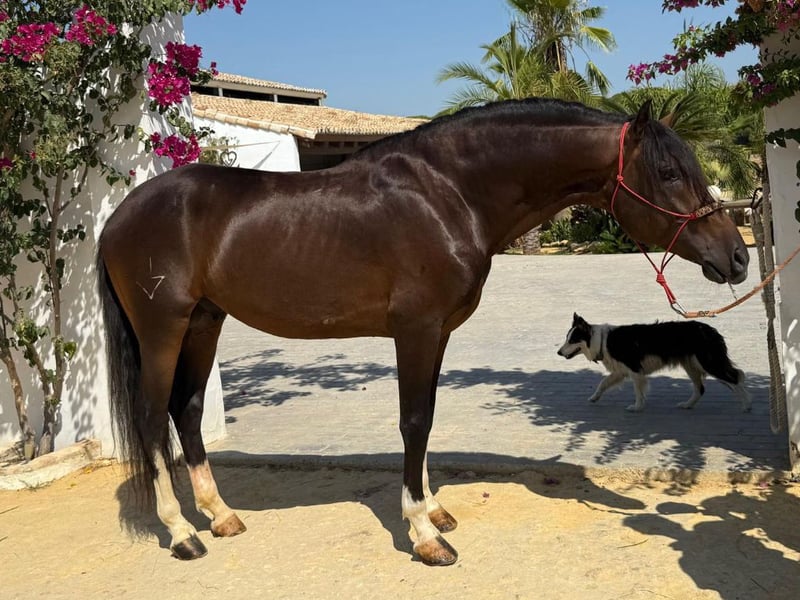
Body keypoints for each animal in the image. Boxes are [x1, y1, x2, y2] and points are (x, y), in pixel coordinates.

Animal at [557, 313, 751, 413]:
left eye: (572, 340)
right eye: (566, 338)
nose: (558, 352)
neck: (603, 341)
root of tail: (712, 330)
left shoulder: (635, 369)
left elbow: (638, 390)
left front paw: (637, 407)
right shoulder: (620, 371)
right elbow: (603, 383)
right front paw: (594, 397)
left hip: (708, 362)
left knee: (736, 378)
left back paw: (746, 406)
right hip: (691, 365)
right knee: (701, 389)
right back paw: (687, 405)